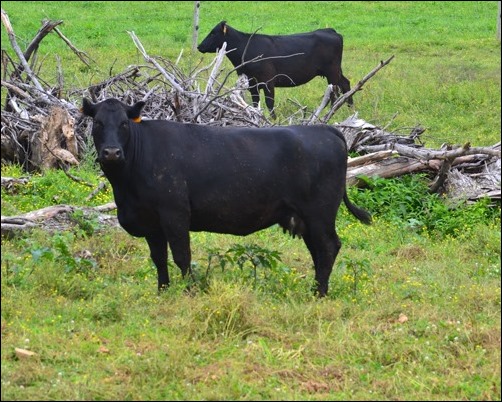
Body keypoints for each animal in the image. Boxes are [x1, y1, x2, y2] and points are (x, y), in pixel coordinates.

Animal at [82, 98, 370, 296]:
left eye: (123, 123)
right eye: (97, 123)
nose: (111, 152)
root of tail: (325, 130)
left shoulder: (174, 213)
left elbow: (182, 256)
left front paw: (189, 292)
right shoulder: (151, 222)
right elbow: (159, 259)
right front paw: (162, 292)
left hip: (320, 214)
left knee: (328, 247)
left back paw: (319, 293)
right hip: (306, 219)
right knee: (318, 251)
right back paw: (315, 289)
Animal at [197, 20, 352, 118]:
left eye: (213, 33)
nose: (199, 46)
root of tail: (329, 30)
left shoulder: (268, 81)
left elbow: (269, 102)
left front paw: (273, 119)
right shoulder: (252, 83)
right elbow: (255, 102)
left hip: (332, 71)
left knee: (334, 92)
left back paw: (332, 112)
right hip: (335, 71)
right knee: (345, 83)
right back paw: (350, 109)